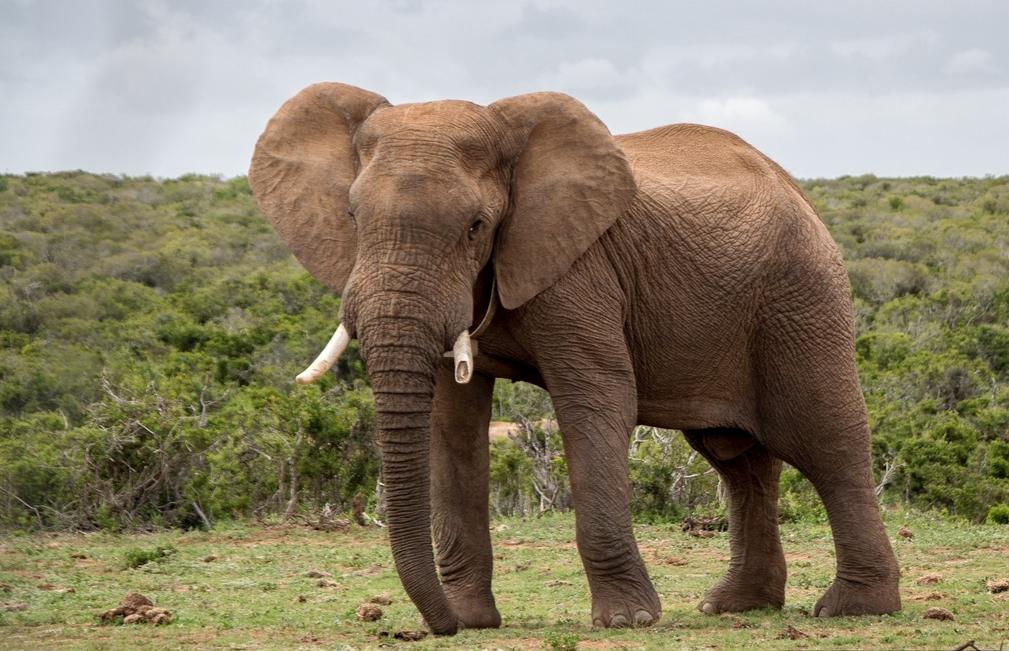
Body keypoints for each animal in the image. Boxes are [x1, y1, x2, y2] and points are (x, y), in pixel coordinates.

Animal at [248, 82, 901, 635]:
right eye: (353, 218)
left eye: (476, 226)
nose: (439, 627)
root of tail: (797, 189)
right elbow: (451, 423)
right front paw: (472, 619)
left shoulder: (580, 269)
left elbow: (597, 399)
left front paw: (627, 621)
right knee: (737, 459)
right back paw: (735, 605)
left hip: (801, 296)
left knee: (826, 440)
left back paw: (854, 610)